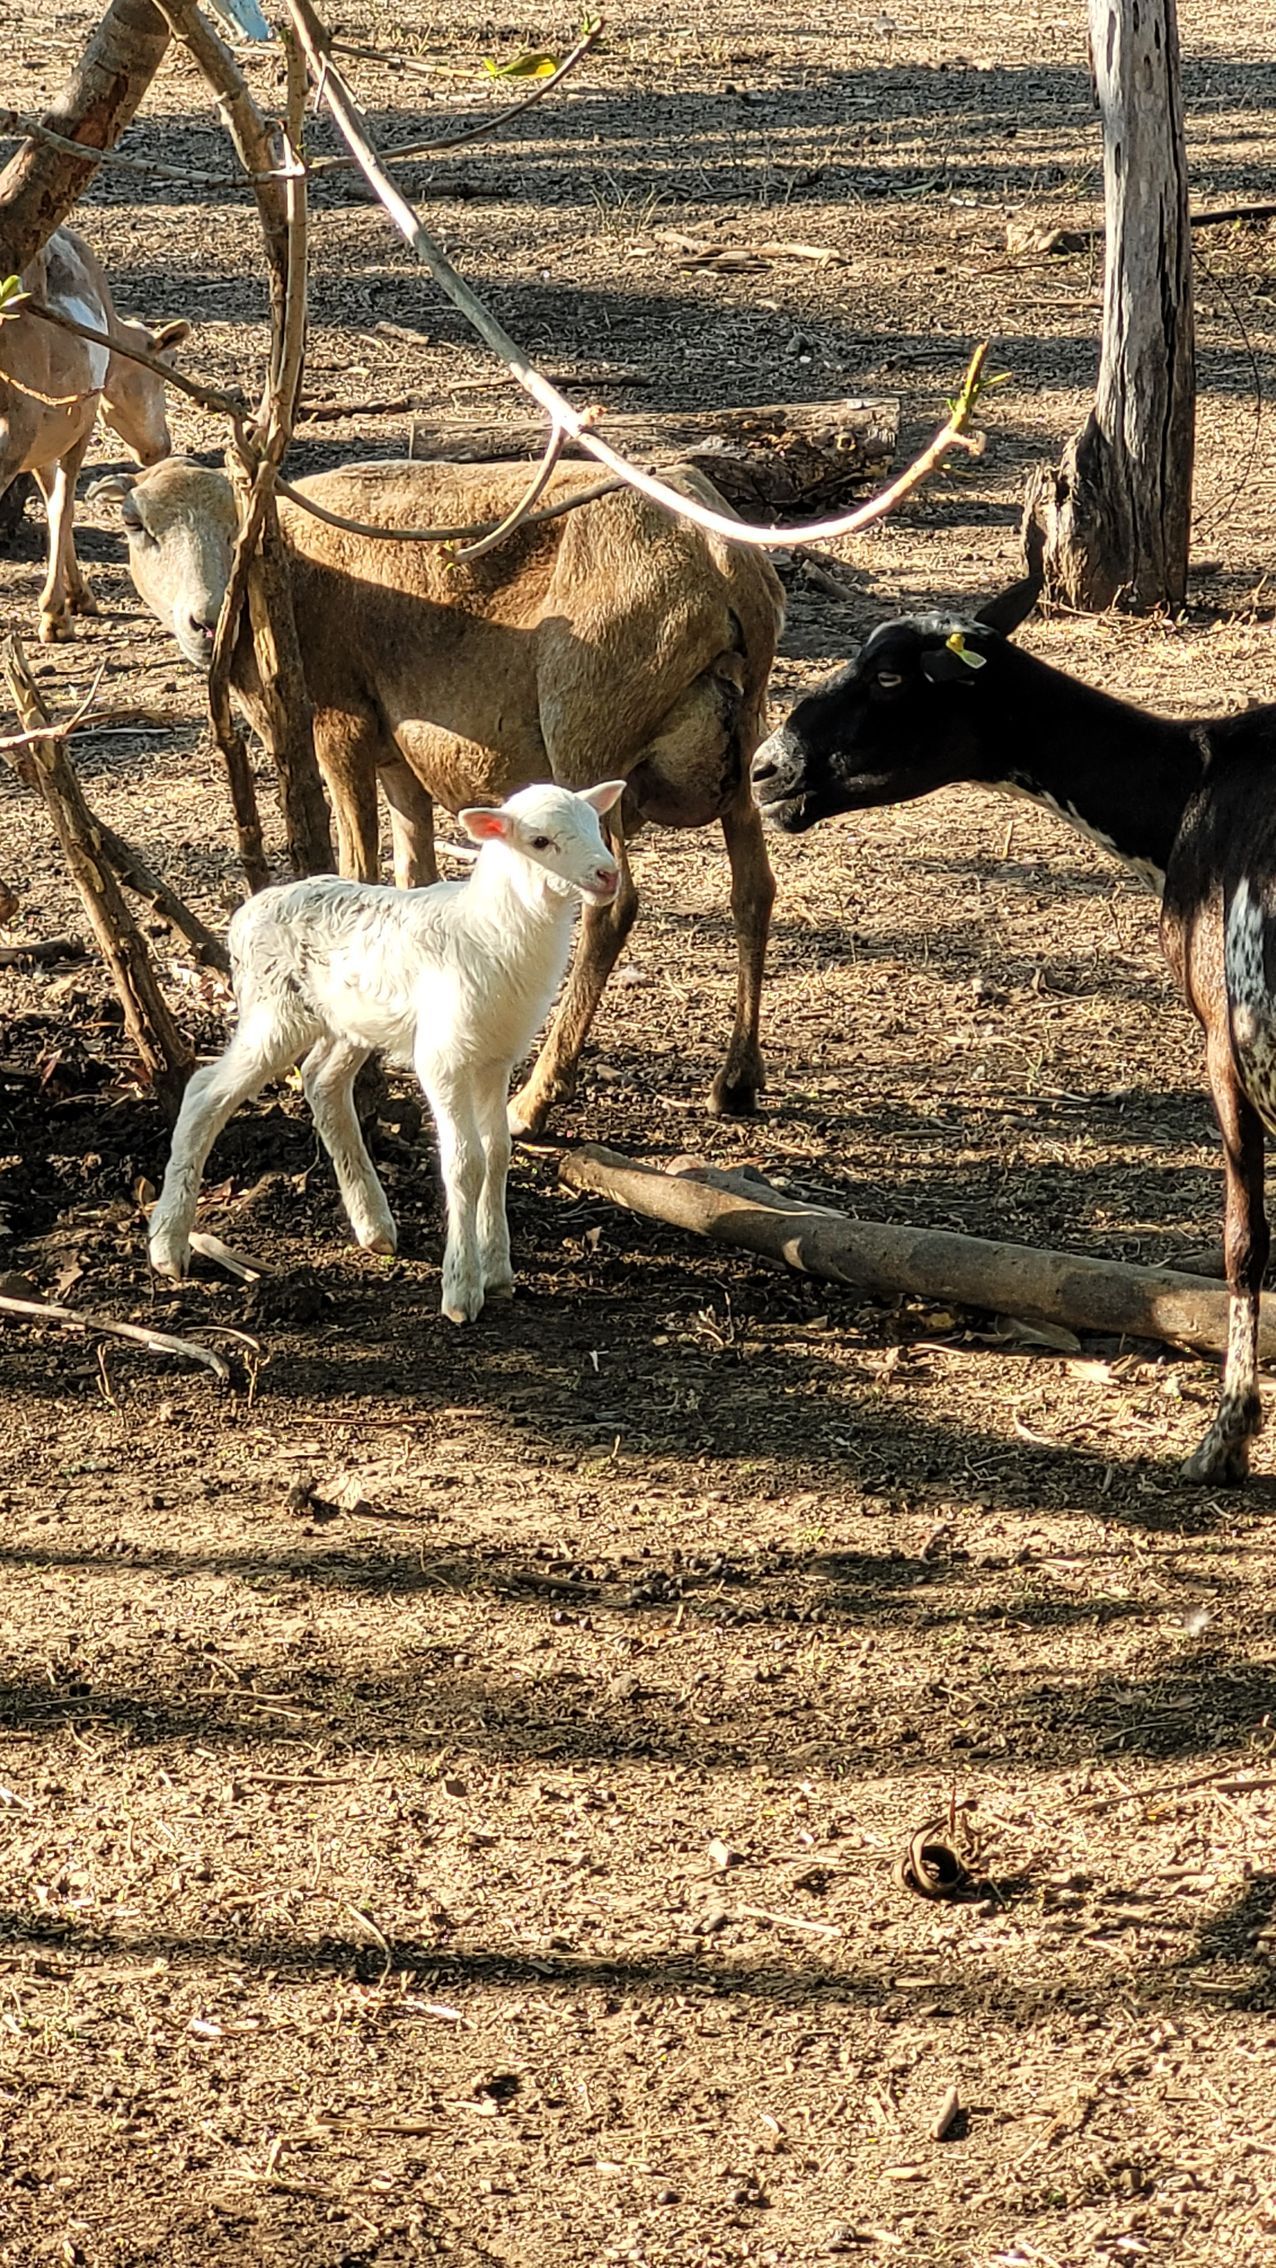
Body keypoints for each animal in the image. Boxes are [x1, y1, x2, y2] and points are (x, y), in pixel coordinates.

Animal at [0, 226, 188, 642]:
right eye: (166, 364)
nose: (159, 448)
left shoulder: (45, 440)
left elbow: (52, 498)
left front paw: (79, 596)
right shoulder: (78, 423)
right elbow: (63, 504)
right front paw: (56, 615)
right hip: (14, 430)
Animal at [95, 452, 784, 1135]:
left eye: (239, 527)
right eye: (135, 524)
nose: (206, 622)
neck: (282, 578)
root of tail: (720, 557)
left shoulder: (340, 724)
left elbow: (358, 868)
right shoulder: (402, 755)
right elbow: (413, 877)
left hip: (587, 730)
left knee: (611, 909)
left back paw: (535, 1098)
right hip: (746, 746)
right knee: (753, 889)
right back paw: (737, 1081)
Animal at [149, 781, 624, 1323]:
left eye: (595, 824)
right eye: (540, 841)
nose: (608, 874)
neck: (488, 931)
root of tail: (248, 911)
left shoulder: (495, 1057)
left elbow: (498, 1152)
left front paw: (499, 1270)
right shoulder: (442, 1058)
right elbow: (465, 1162)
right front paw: (461, 1290)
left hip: (347, 1021)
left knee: (322, 1083)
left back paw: (373, 1225)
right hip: (274, 1011)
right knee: (204, 1094)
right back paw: (168, 1246)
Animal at [751, 578, 1276, 1486]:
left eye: (890, 677)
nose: (767, 768)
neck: (1189, 787)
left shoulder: (1225, 1040)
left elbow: (1246, 1244)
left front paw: (1223, 1439)